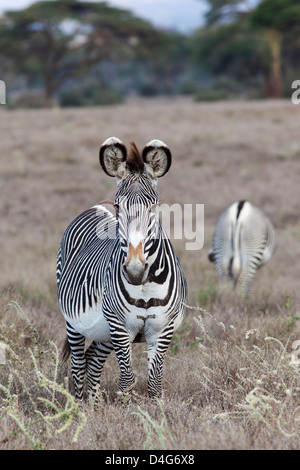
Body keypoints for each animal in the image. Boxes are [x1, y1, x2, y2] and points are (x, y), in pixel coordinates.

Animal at [56, 136, 188, 400]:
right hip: (75, 322)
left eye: (154, 205)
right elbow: (127, 381)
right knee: (78, 363)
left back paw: (94, 404)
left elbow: (154, 384)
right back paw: (78, 406)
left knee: (93, 360)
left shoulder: (162, 328)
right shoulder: (119, 326)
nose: (135, 270)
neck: (145, 286)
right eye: (119, 206)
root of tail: (99, 204)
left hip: (103, 333)